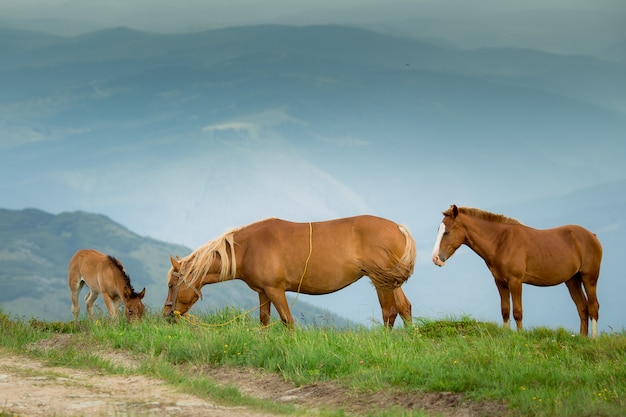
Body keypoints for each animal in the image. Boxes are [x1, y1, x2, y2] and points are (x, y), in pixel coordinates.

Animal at [162, 214, 414, 328]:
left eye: (171, 285)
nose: (166, 314)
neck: (249, 247)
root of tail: (397, 227)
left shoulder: (276, 291)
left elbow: (287, 321)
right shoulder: (263, 292)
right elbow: (264, 320)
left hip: (382, 283)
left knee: (390, 312)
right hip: (391, 283)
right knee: (404, 308)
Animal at [428, 205, 600, 338]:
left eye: (447, 231)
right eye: (439, 230)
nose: (436, 258)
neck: (501, 243)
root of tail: (592, 236)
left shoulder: (515, 281)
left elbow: (517, 311)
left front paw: (520, 336)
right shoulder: (500, 282)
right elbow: (505, 310)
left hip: (589, 278)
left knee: (593, 307)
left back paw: (593, 340)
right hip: (572, 280)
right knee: (582, 308)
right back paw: (582, 338)